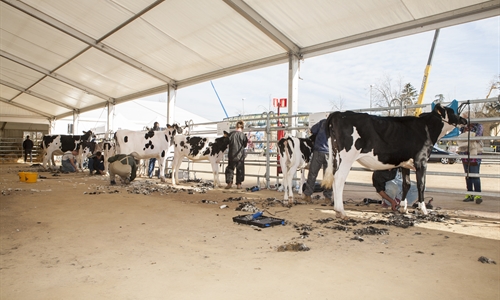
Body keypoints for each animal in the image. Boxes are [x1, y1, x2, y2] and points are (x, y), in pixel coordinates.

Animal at [322, 103, 466, 218]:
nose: (464, 120)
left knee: (334, 177)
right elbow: (421, 185)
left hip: (336, 156)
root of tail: (338, 114)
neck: (426, 128)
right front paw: (423, 210)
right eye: (453, 111)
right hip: (347, 157)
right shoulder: (421, 161)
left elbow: (406, 184)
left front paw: (403, 208)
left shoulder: (405, 164)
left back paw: (337, 209)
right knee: (339, 179)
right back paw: (341, 211)